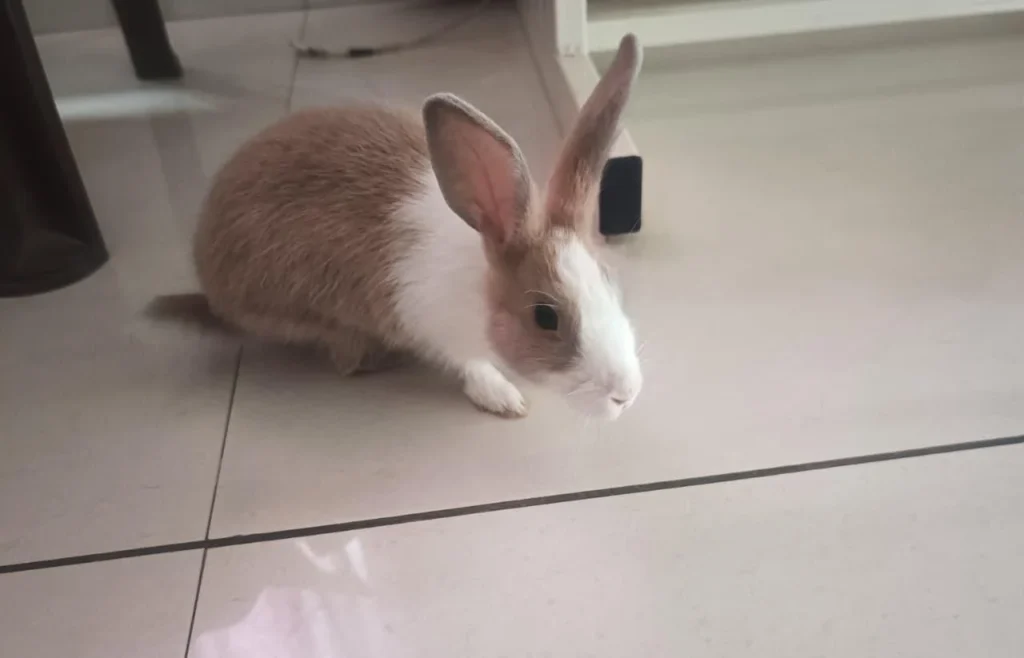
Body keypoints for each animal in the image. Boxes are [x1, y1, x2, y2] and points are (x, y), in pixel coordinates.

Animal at [149, 34, 644, 420]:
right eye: (545, 316)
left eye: (611, 282)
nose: (627, 394)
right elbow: (472, 366)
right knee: (344, 360)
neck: (480, 287)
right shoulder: (437, 331)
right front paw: (503, 396)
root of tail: (211, 296)